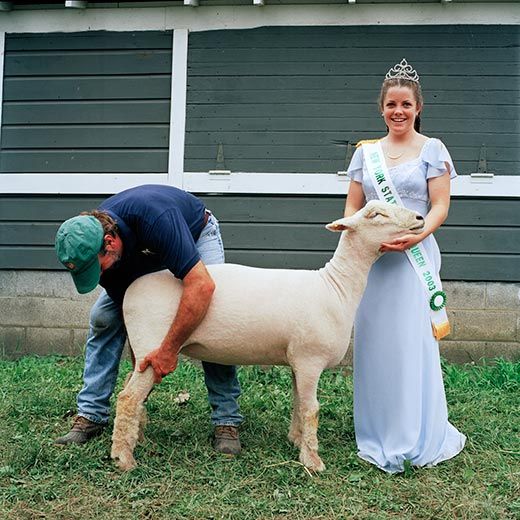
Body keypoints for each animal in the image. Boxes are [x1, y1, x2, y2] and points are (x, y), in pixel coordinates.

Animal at [109, 201, 422, 474]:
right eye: (376, 214)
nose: (419, 218)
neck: (335, 288)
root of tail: (131, 291)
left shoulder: (297, 360)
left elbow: (298, 402)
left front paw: (296, 440)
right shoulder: (311, 360)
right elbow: (311, 409)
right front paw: (312, 460)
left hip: (143, 350)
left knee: (131, 390)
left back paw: (136, 439)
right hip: (153, 345)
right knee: (128, 397)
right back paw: (123, 458)